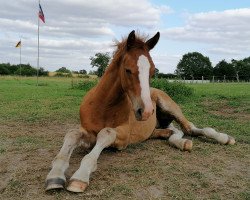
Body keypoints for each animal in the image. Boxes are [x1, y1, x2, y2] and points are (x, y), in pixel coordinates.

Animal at [46, 30, 235, 192]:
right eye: (128, 70)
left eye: (152, 71)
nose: (147, 111)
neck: (103, 106)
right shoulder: (86, 131)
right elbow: (71, 134)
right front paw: (55, 177)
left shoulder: (123, 137)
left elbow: (106, 133)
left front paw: (80, 177)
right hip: (158, 127)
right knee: (174, 131)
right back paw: (182, 142)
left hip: (170, 107)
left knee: (190, 128)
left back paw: (224, 138)